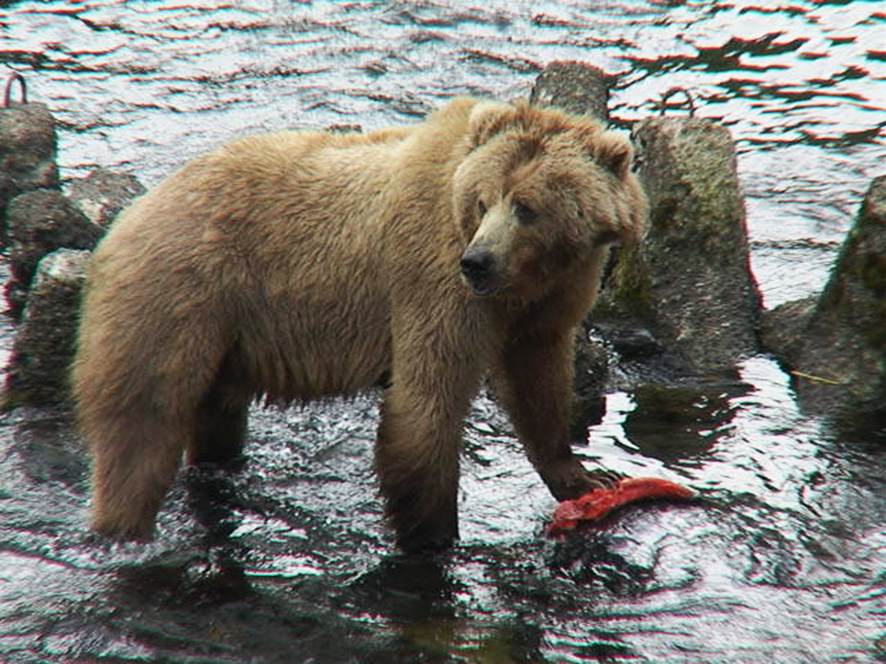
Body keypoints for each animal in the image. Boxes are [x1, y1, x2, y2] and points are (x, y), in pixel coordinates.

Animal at [71, 98, 644, 552]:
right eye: (483, 200)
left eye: (526, 207)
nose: (478, 262)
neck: (527, 280)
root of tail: (129, 213)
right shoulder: (435, 281)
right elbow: (427, 400)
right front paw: (433, 537)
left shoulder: (551, 301)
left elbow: (537, 384)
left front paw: (585, 476)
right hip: (177, 295)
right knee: (141, 427)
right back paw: (121, 532)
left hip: (223, 334)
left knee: (213, 416)